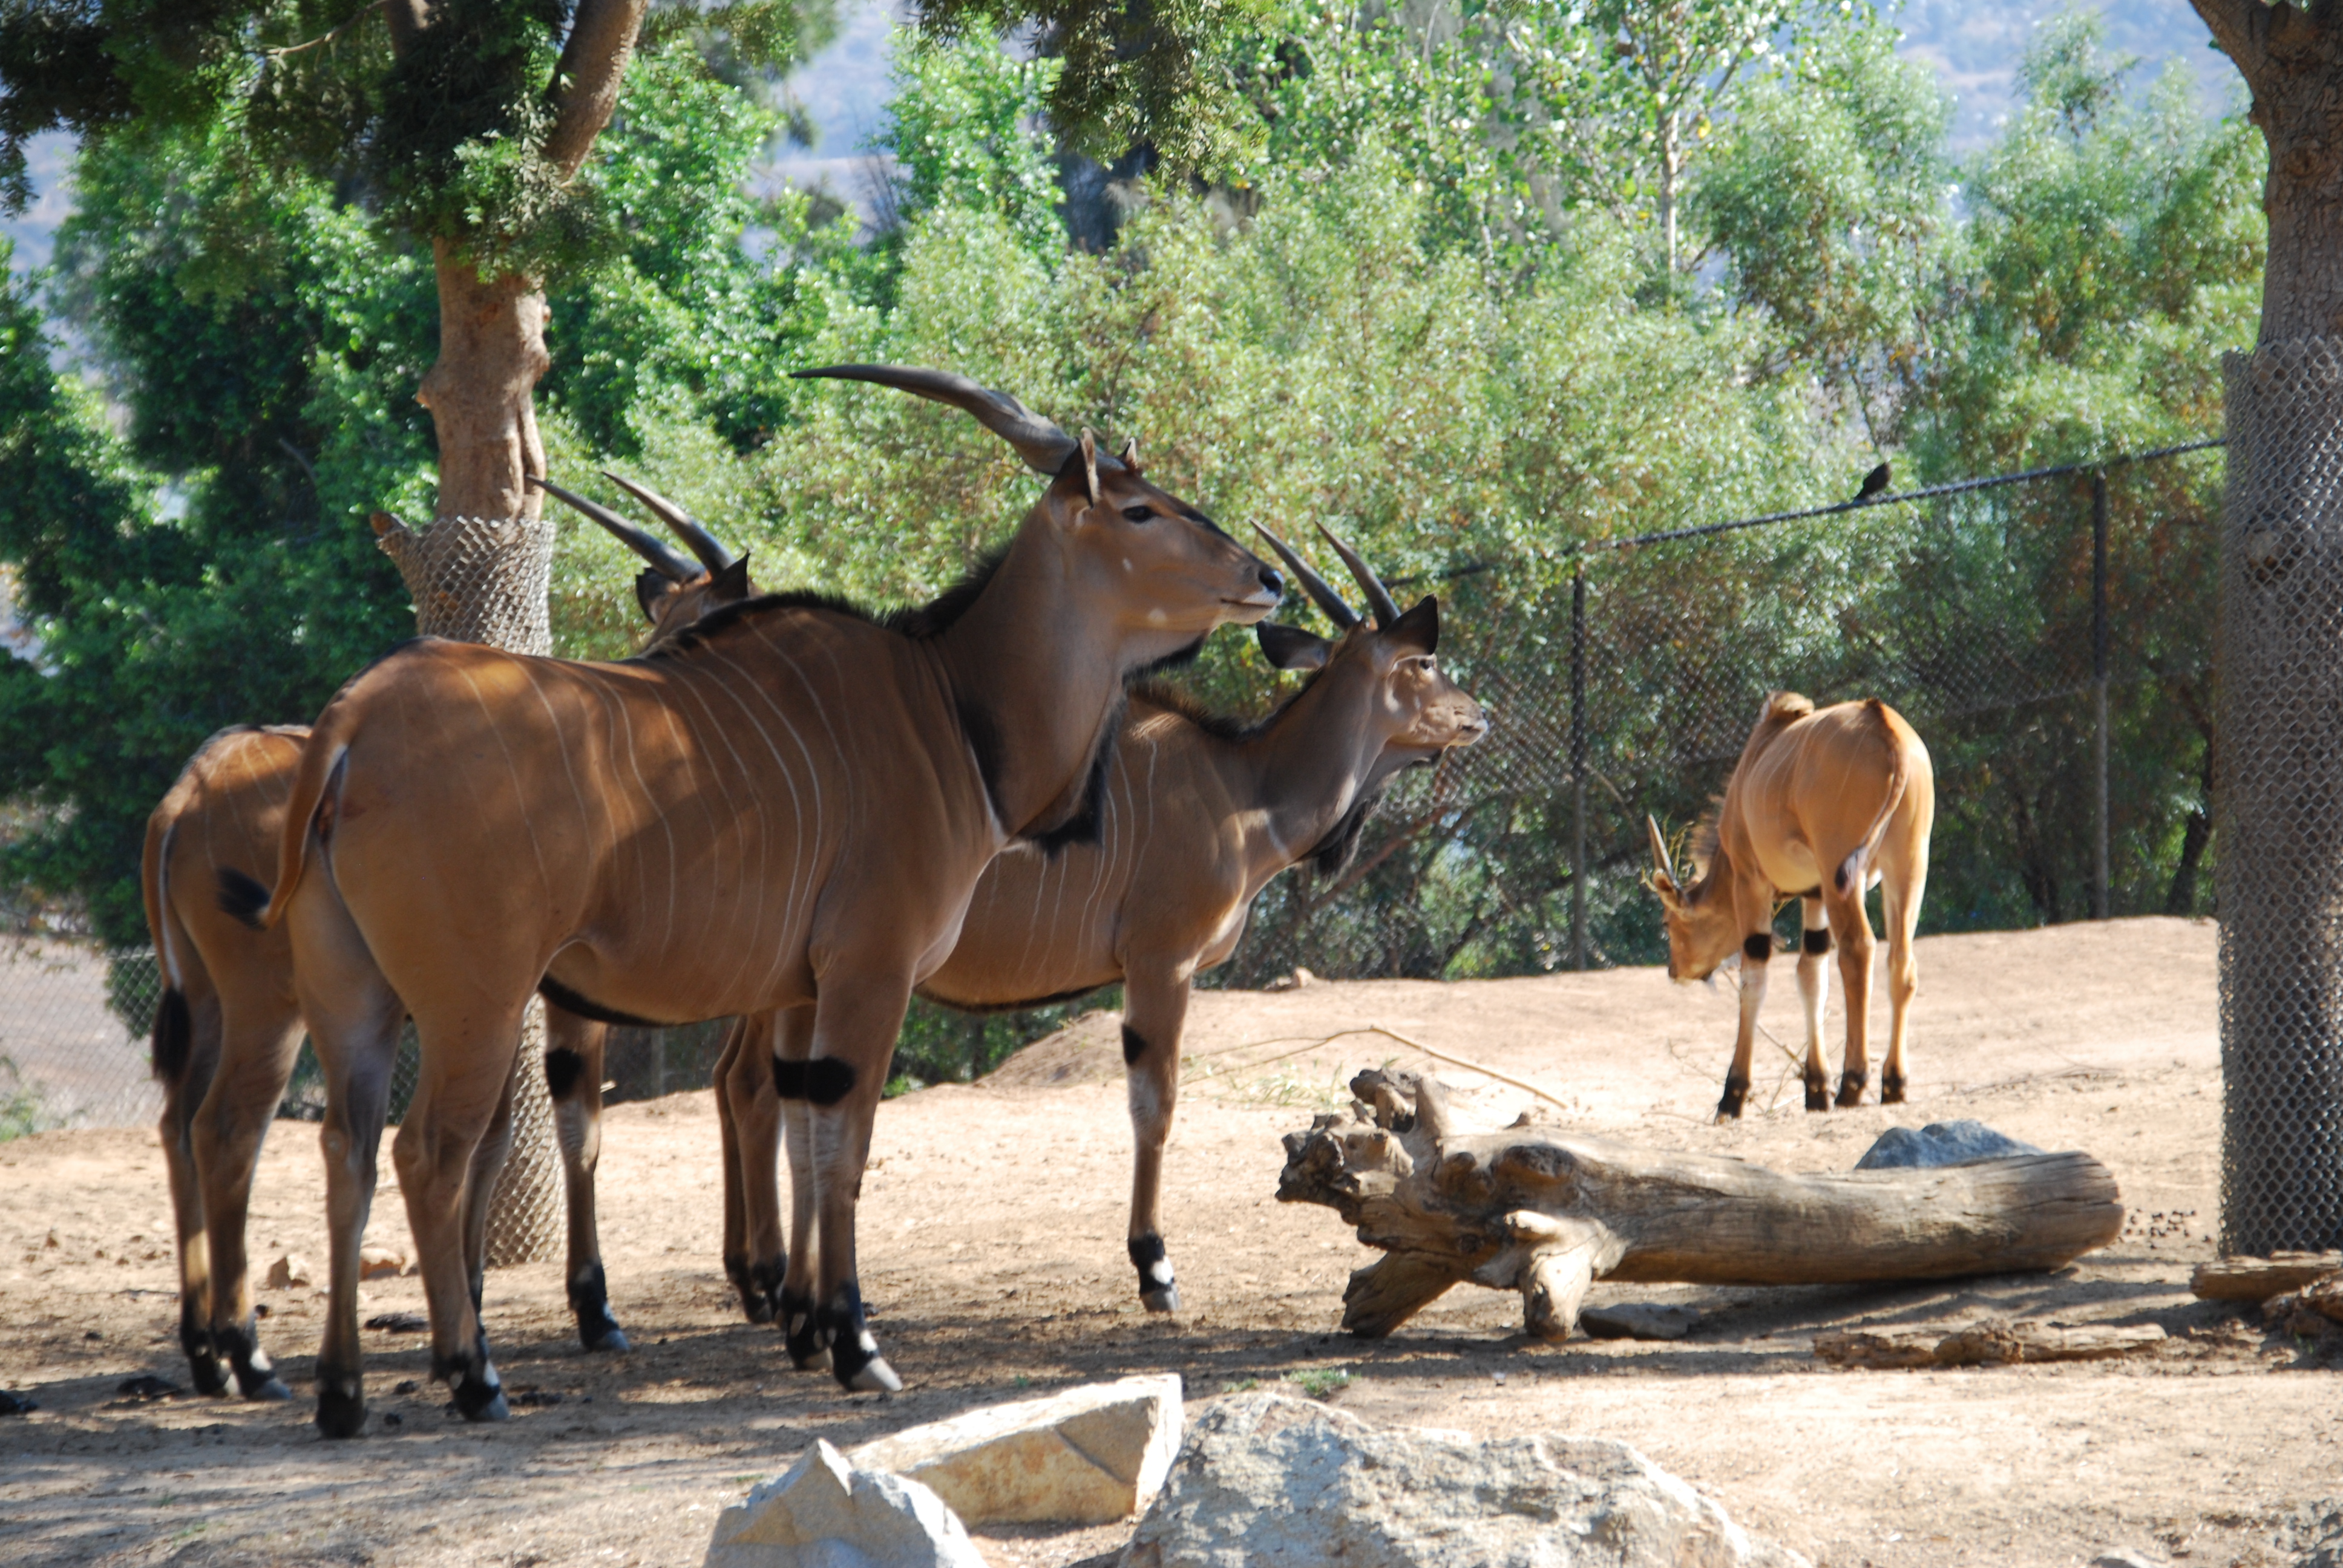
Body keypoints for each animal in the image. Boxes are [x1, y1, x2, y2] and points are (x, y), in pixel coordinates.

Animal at [142, 483, 759, 1397]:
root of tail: (190, 790)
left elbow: (495, 1141)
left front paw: (469, 1308)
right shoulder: (559, 1004)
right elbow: (573, 1132)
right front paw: (590, 1311)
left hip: (222, 1005)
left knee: (182, 1123)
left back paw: (205, 1353)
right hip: (273, 1009)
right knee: (228, 1130)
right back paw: (248, 1354)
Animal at [220, 368, 1283, 1434]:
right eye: (1140, 510)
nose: (1267, 580)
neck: (947, 705)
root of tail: (352, 722)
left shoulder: (802, 992)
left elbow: (803, 1136)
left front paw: (807, 1328)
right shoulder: (870, 974)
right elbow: (845, 1148)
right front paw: (854, 1346)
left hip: (356, 998)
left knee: (346, 1149)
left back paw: (344, 1392)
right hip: (472, 1001)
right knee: (427, 1151)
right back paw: (471, 1374)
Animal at [703, 524, 1490, 1359]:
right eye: (1422, 662)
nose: (1476, 715)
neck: (1241, 792)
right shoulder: (1160, 965)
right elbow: (1156, 1106)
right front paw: (1155, 1270)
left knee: (761, 1093)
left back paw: (783, 1295)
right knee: (759, 1091)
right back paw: (774, 1289)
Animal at [1640, 689, 1930, 1120]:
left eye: (1666, 923)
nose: (1675, 971)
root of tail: (1886, 726)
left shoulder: (1751, 883)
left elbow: (1755, 980)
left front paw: (1733, 1095)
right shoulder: (1815, 893)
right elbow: (1811, 977)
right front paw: (1817, 1089)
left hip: (1843, 875)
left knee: (1858, 950)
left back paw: (1853, 1083)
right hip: (1907, 869)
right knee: (1902, 962)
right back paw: (1894, 1083)